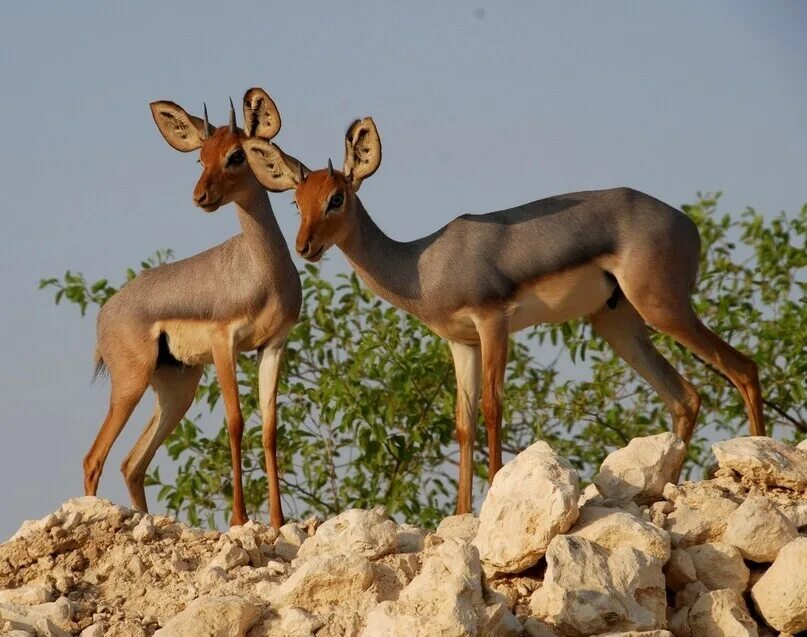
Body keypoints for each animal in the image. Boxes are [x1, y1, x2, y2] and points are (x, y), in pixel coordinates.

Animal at [83, 88, 302, 528]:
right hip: (131, 385)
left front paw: (277, 522)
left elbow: (270, 428)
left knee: (131, 463)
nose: (200, 196)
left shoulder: (272, 345)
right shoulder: (224, 342)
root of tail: (105, 312)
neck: (263, 270)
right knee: (94, 458)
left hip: (176, 390)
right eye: (201, 157)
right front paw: (239, 518)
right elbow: (235, 422)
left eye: (236, 155)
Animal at [243, 117, 768, 516]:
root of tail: (686, 223)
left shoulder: (492, 321)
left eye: (337, 198)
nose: (305, 247)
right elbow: (463, 422)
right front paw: (459, 514)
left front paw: (492, 495)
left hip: (663, 307)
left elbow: (493, 408)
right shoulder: (460, 342)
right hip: (619, 324)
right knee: (685, 397)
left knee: (742, 367)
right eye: (297, 200)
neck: (424, 264)